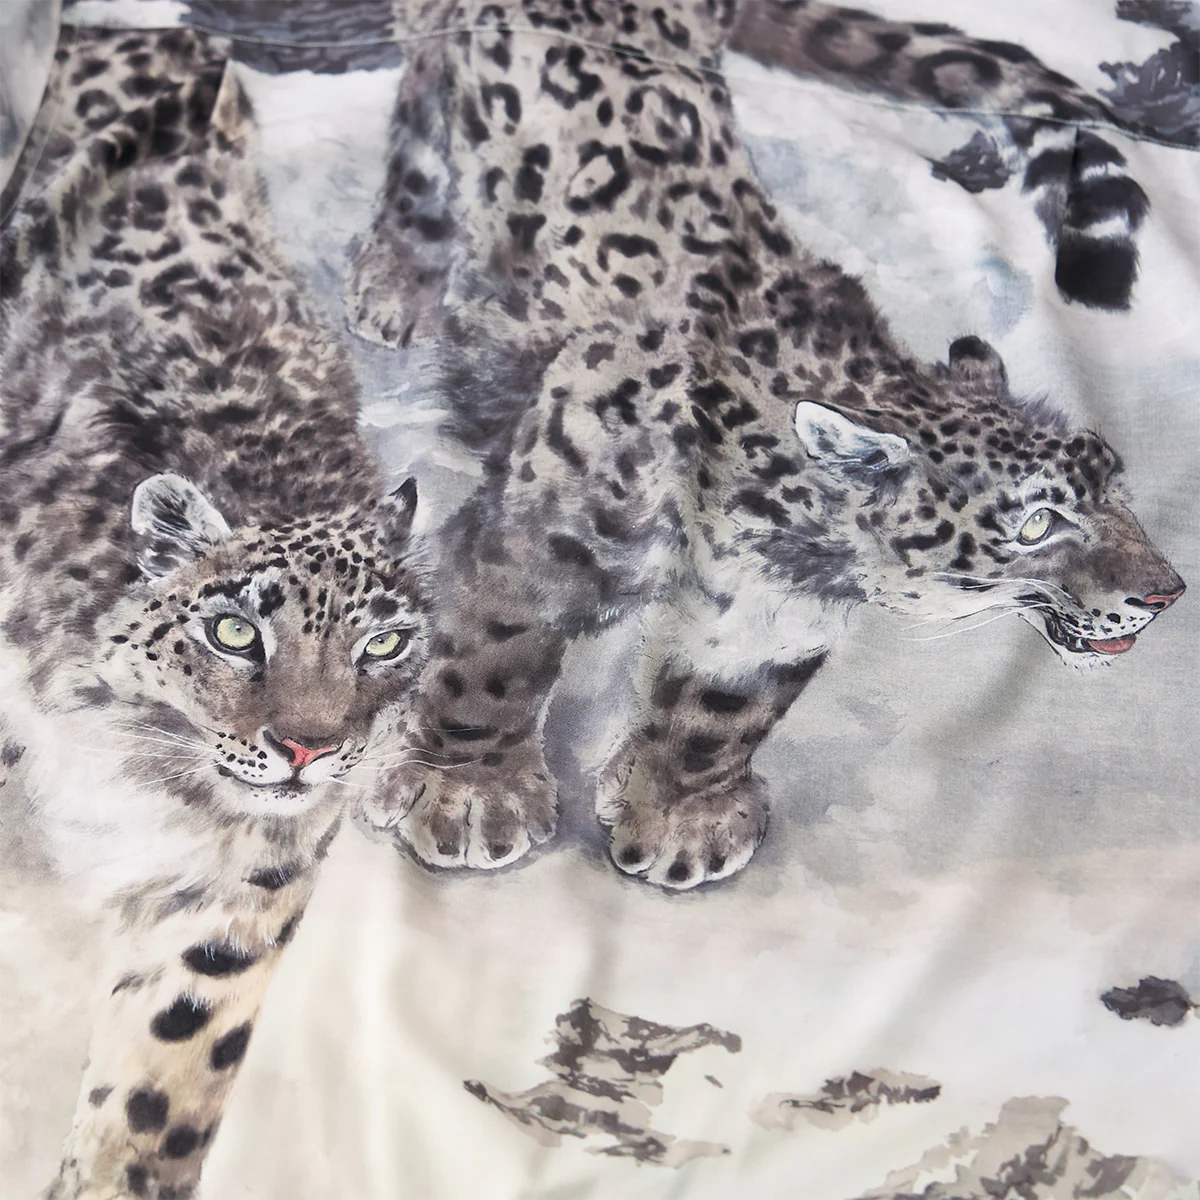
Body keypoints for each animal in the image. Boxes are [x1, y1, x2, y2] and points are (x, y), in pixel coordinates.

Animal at [347, 0, 1185, 890]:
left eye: (1117, 486)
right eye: (1037, 523)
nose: (1168, 593)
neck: (775, 543)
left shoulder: (771, 615)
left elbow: (719, 715)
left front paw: (683, 820)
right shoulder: (538, 545)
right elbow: (491, 661)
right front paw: (465, 794)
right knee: (416, 158)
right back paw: (395, 285)